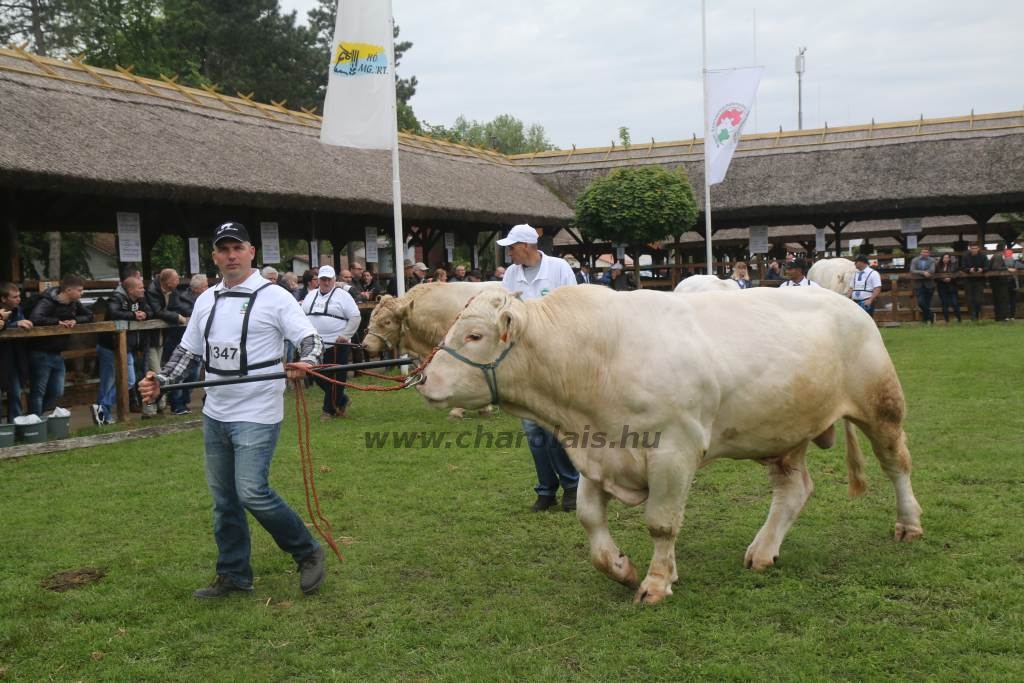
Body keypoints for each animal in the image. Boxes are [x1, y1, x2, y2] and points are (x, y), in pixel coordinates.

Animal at [411, 284, 925, 602]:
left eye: (474, 334)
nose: (423, 381)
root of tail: (843, 301)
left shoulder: (674, 452)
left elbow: (661, 523)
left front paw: (656, 583)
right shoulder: (597, 451)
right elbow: (589, 519)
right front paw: (621, 568)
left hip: (881, 404)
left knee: (896, 463)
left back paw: (909, 525)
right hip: (784, 429)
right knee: (793, 491)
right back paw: (762, 552)